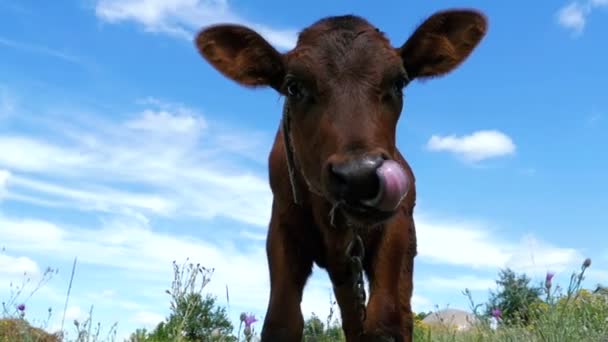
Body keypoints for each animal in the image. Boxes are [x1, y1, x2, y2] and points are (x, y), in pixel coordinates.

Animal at [195, 8, 490, 342]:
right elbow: (282, 321)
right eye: (293, 86)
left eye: (399, 82)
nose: (360, 175)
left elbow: (385, 321)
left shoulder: (396, 228)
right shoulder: (281, 228)